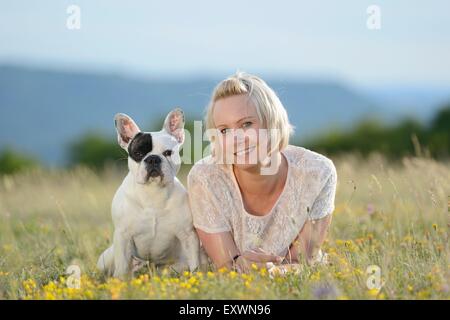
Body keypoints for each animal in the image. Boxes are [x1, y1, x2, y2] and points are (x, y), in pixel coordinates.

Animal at [97, 107, 207, 278]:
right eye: (138, 153)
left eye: (168, 153)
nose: (153, 159)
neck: (153, 193)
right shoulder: (123, 236)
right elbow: (122, 267)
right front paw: (120, 281)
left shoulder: (188, 235)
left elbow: (194, 262)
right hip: (105, 258)